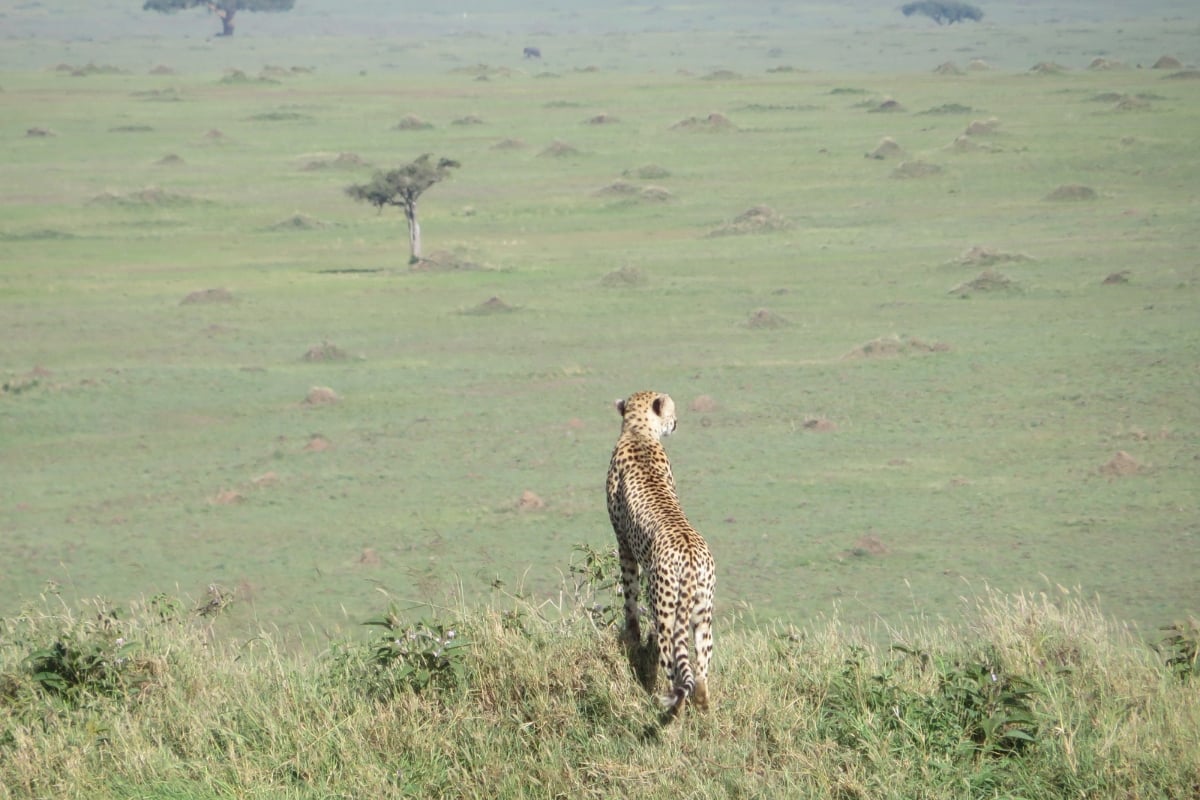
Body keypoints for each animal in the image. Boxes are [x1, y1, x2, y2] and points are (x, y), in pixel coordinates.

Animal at [604, 391, 715, 710]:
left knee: (672, 667)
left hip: (665, 610)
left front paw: (632, 633)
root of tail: (690, 553)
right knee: (701, 668)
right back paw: (703, 705)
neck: (638, 431)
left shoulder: (624, 543)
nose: (676, 423)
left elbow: (629, 591)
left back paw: (668, 704)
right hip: (703, 611)